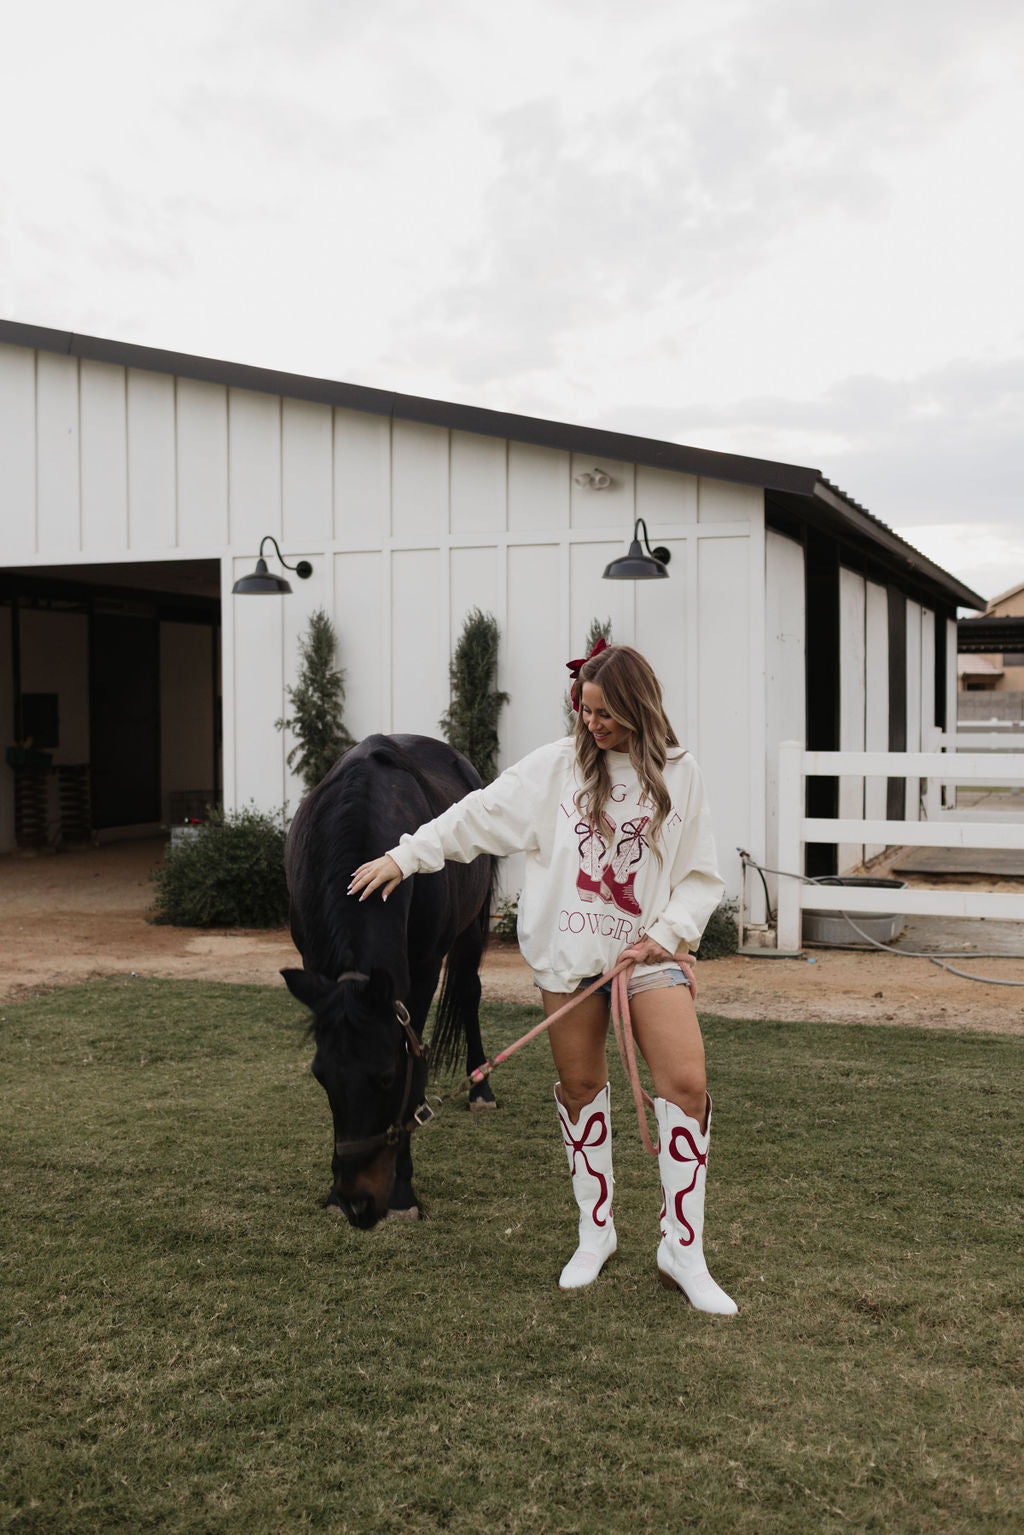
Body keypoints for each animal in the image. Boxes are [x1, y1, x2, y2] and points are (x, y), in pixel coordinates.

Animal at [284, 730, 497, 1221]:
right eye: (321, 1076)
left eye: (385, 1077)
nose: (355, 1198)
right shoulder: (315, 965)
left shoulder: (422, 970)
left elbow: (415, 1055)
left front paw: (402, 1192)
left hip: (473, 925)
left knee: (470, 992)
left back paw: (480, 1088)